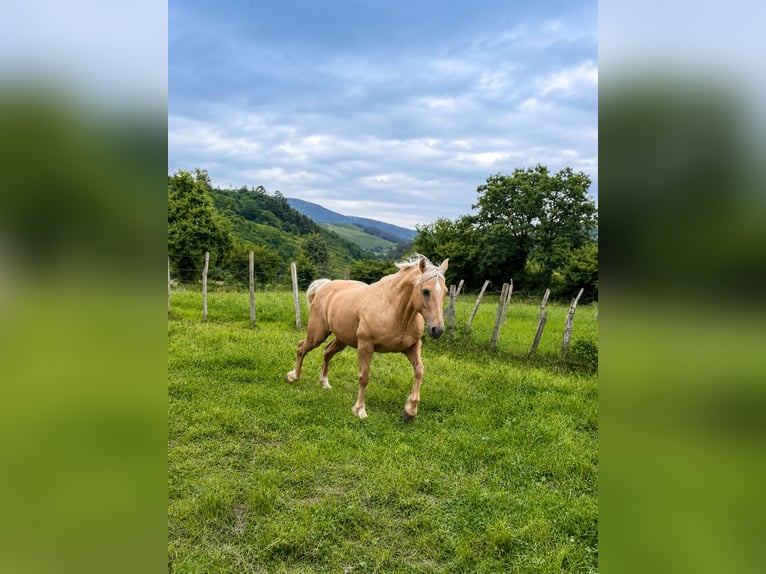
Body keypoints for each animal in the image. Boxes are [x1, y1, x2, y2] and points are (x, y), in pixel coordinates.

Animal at [285, 254, 449, 422]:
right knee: (301, 347)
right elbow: (364, 377)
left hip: (341, 339)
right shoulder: (366, 346)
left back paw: (324, 383)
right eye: (425, 291)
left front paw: (410, 411)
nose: (437, 329)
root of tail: (326, 286)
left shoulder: (413, 346)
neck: (393, 310)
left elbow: (419, 371)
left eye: (445, 292)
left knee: (327, 352)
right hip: (317, 334)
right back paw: (293, 377)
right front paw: (359, 410)